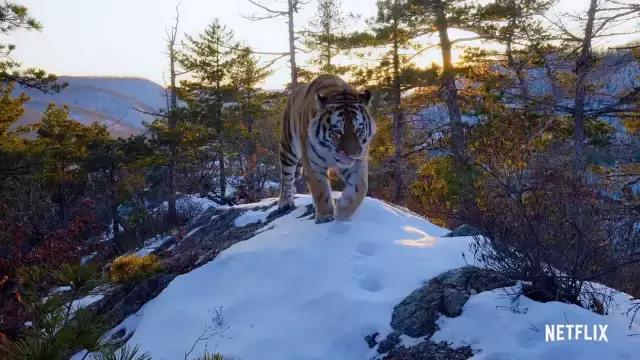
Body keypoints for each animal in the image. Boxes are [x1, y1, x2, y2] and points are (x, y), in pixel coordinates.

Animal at [278, 74, 376, 222]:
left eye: (358, 129)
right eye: (337, 131)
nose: (351, 154)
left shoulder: (359, 161)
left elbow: (360, 187)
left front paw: (343, 210)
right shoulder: (312, 163)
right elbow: (320, 189)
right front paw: (325, 216)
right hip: (288, 149)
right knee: (286, 177)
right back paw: (284, 203)